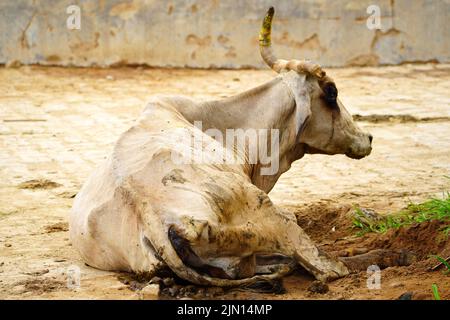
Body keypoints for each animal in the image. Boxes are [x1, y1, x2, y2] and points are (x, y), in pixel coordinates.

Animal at [69, 8, 412, 288]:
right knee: (324, 265)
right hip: (266, 213)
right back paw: (393, 254)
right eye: (331, 91)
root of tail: (153, 222)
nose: (368, 138)